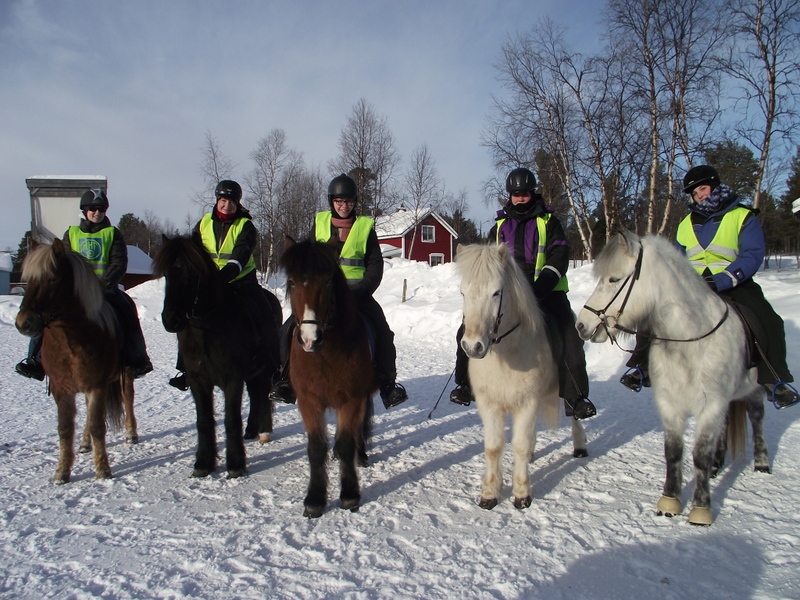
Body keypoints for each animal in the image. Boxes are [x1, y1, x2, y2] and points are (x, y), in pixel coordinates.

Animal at [14, 238, 136, 482]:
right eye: (28, 279)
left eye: (52, 278)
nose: (24, 323)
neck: (71, 339)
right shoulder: (61, 388)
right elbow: (64, 428)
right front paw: (62, 472)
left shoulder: (97, 385)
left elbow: (98, 425)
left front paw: (103, 469)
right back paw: (85, 444)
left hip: (125, 374)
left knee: (127, 399)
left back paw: (130, 434)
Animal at [282, 237, 376, 516]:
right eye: (292, 281)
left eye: (326, 280)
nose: (310, 339)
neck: (324, 355)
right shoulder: (308, 401)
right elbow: (316, 448)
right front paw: (314, 499)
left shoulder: (351, 399)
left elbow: (345, 444)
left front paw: (350, 495)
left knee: (357, 430)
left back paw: (361, 456)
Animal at [456, 241, 588, 508]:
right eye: (463, 293)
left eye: (496, 293)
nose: (472, 347)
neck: (507, 353)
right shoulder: (490, 404)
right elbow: (494, 447)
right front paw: (489, 494)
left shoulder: (527, 402)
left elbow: (519, 445)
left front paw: (522, 494)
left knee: (575, 412)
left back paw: (579, 445)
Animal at [576, 230, 768, 524]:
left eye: (614, 279)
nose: (581, 325)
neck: (689, 343)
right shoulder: (671, 405)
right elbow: (673, 452)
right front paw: (669, 501)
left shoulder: (711, 405)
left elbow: (699, 455)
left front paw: (701, 508)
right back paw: (717, 465)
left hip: (754, 390)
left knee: (757, 418)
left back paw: (761, 462)